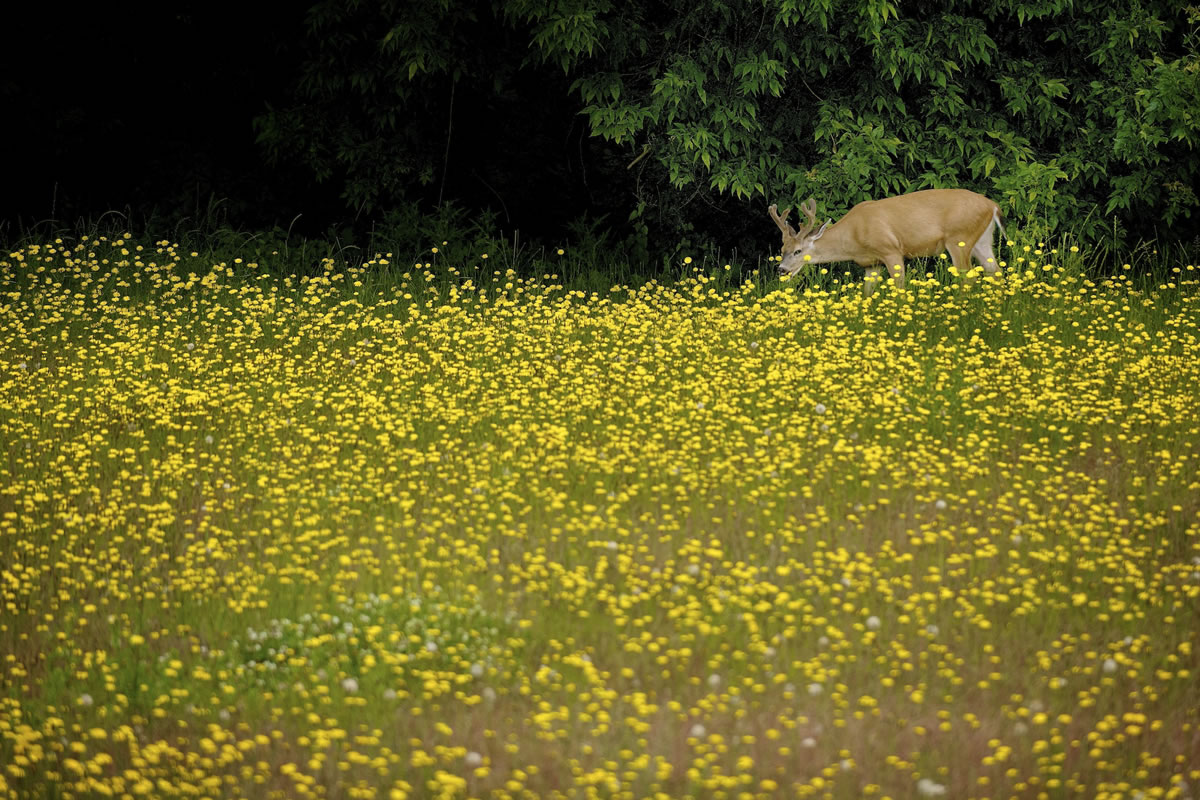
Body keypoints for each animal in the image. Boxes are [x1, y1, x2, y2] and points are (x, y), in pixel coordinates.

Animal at [768, 189, 1003, 296]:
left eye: (798, 251)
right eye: (782, 248)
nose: (781, 270)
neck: (853, 235)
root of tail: (993, 206)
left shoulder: (891, 251)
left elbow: (899, 287)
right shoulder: (871, 263)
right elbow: (867, 293)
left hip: (959, 238)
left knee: (969, 277)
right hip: (982, 240)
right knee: (995, 270)